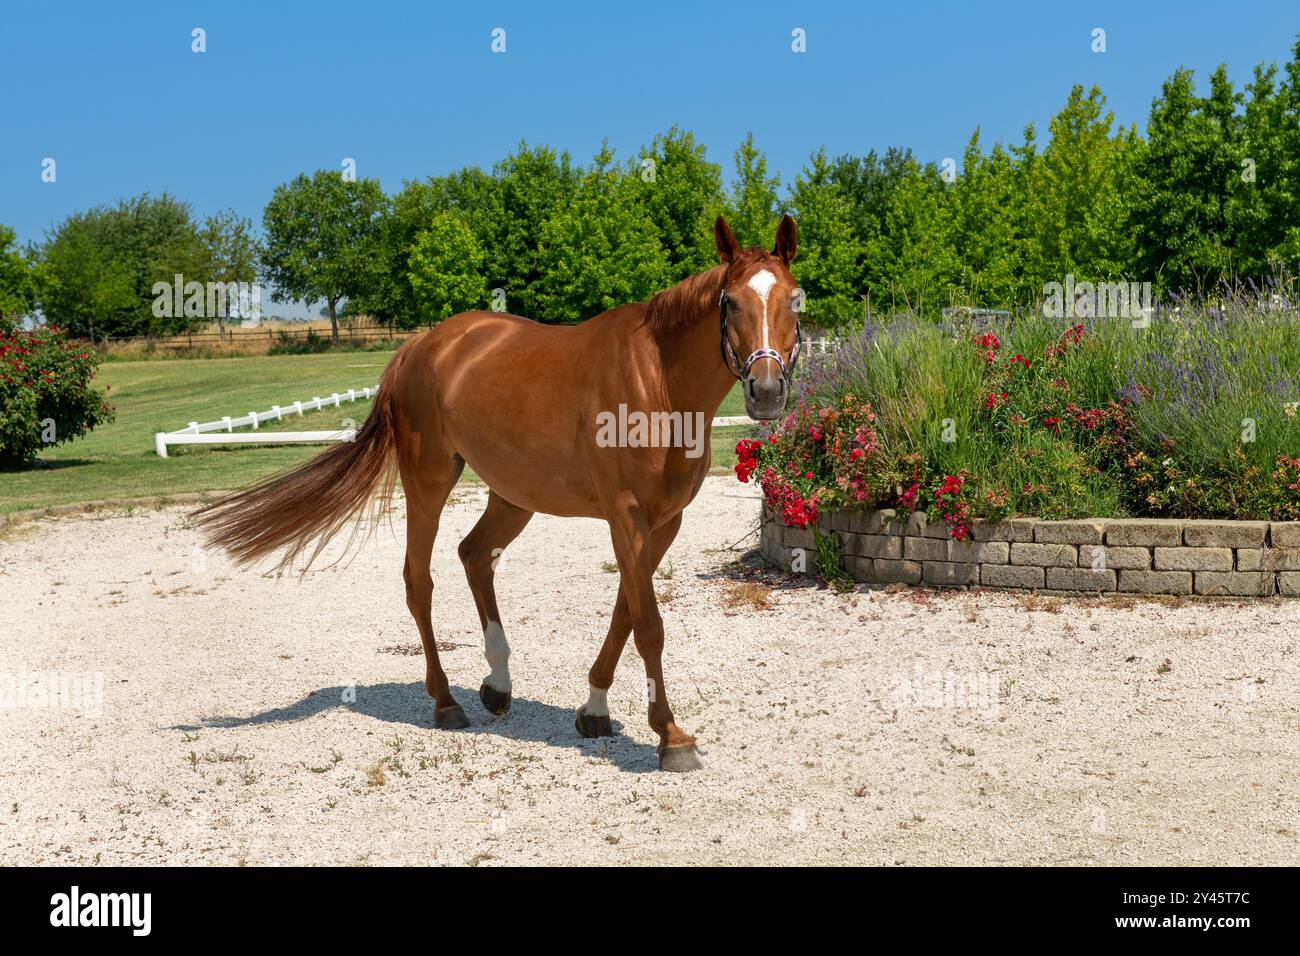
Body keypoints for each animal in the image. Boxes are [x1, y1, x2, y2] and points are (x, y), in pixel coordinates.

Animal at [195, 215, 801, 771]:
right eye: (730, 303)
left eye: (794, 300)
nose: (766, 392)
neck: (657, 381)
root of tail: (420, 346)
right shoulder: (625, 516)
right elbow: (648, 624)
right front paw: (670, 736)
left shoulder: (664, 521)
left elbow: (625, 611)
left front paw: (595, 709)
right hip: (429, 482)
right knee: (420, 581)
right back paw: (445, 701)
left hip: (513, 496)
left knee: (474, 555)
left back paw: (498, 683)